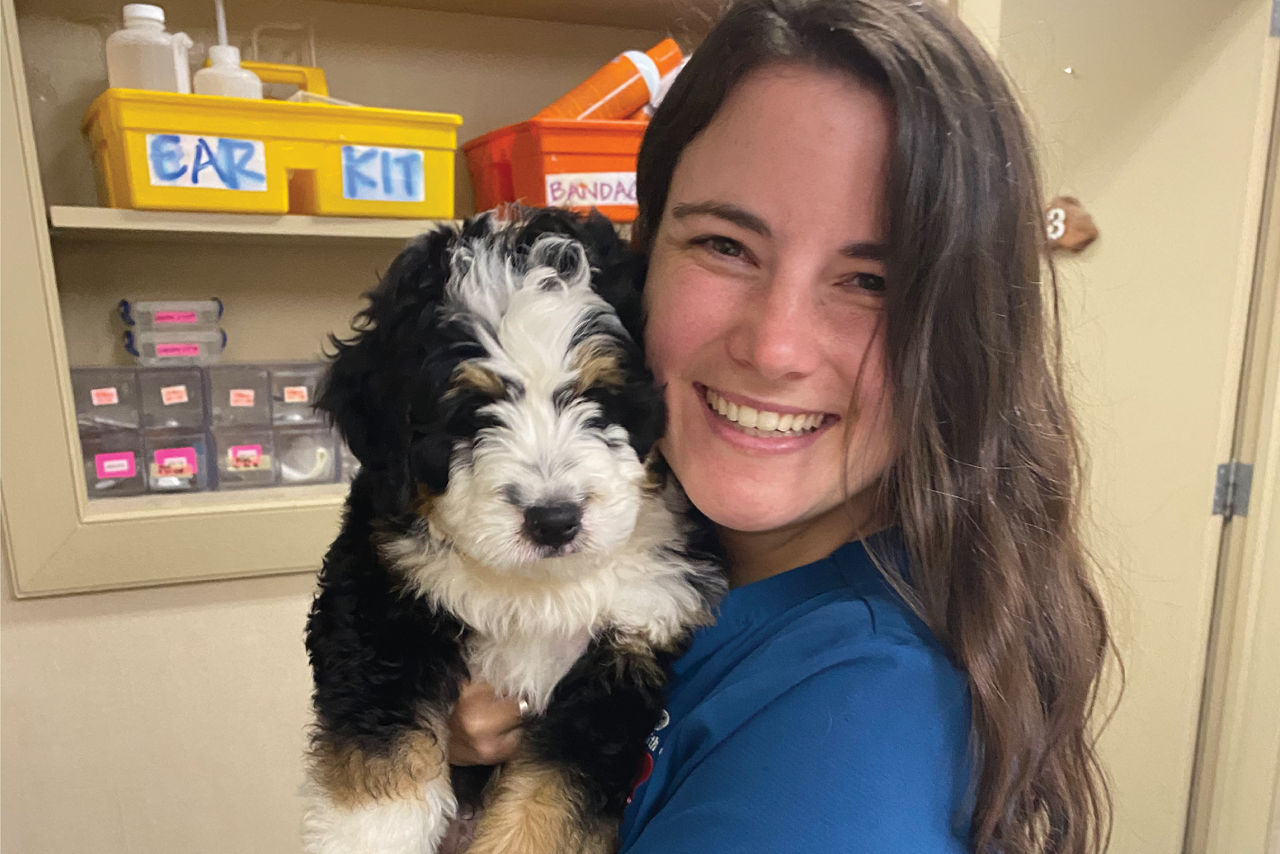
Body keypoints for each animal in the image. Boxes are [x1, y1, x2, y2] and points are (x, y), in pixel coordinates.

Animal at [298, 208, 721, 854]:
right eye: (472, 414)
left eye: (600, 399)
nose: (554, 520)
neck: (536, 589)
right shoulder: (381, 594)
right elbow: (381, 752)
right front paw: (371, 834)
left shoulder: (628, 649)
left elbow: (550, 799)